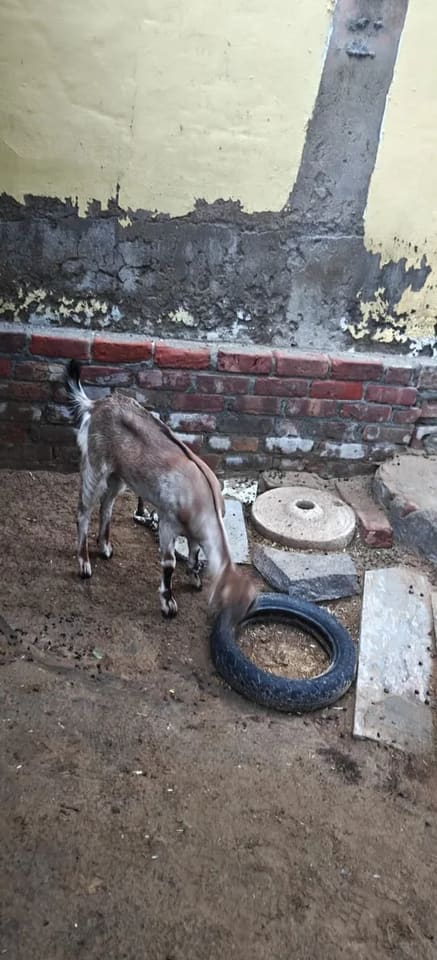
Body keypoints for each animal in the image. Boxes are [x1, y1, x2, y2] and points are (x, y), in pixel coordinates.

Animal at [64, 360, 256, 619]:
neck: (204, 501)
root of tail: (95, 405)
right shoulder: (167, 522)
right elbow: (169, 562)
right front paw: (168, 603)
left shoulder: (194, 533)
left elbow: (195, 554)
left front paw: (195, 579)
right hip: (95, 465)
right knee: (84, 510)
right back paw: (84, 564)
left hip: (119, 475)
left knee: (107, 505)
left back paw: (105, 548)